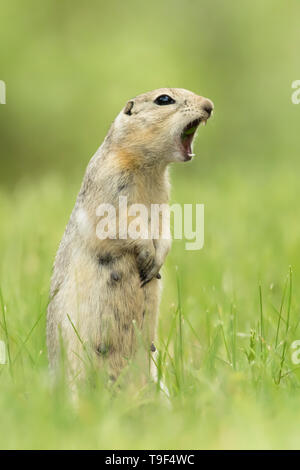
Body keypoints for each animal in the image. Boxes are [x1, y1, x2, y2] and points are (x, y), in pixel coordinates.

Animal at [46, 86, 213, 384]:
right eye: (164, 99)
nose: (209, 106)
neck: (150, 169)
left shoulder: (163, 201)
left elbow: (164, 230)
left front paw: (157, 260)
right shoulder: (110, 183)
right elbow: (116, 225)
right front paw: (146, 254)